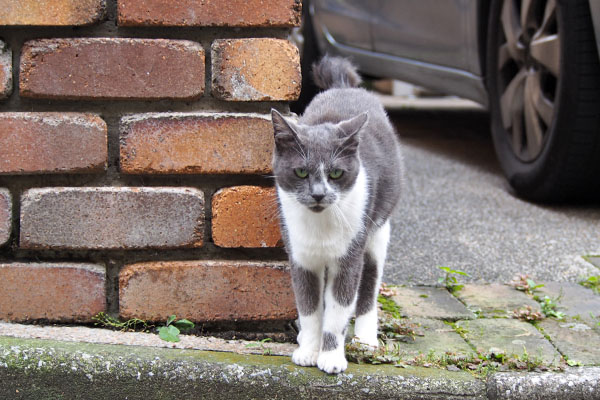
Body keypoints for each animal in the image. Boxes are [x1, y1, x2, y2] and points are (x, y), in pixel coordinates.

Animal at [272, 56, 404, 376]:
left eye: (335, 173)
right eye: (301, 172)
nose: (319, 194)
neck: (321, 226)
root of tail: (345, 86)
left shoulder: (348, 259)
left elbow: (338, 311)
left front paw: (331, 357)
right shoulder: (300, 257)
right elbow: (309, 308)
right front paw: (308, 350)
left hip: (377, 233)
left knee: (368, 288)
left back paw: (366, 338)